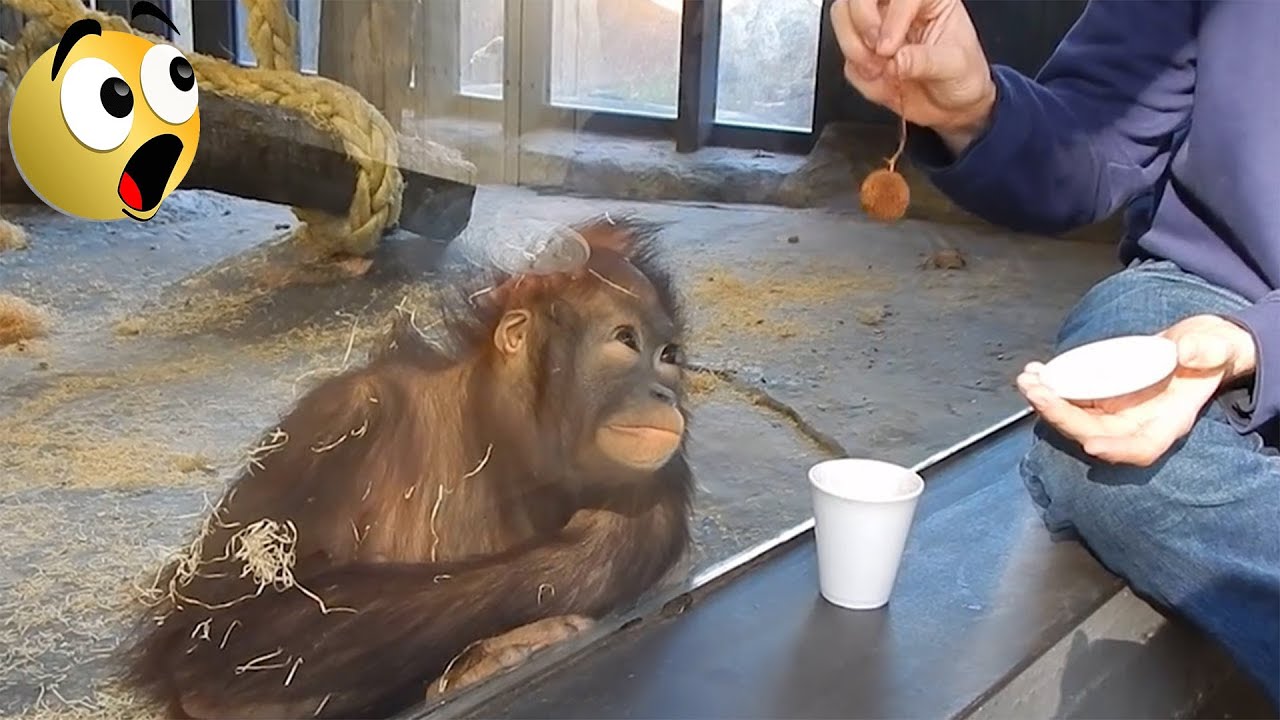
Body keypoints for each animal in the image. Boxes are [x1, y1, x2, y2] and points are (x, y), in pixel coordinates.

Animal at [114, 215, 695, 719]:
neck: (495, 437)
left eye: (668, 356)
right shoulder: (335, 422)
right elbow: (215, 644)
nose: (662, 392)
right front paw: (613, 540)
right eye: (626, 341)